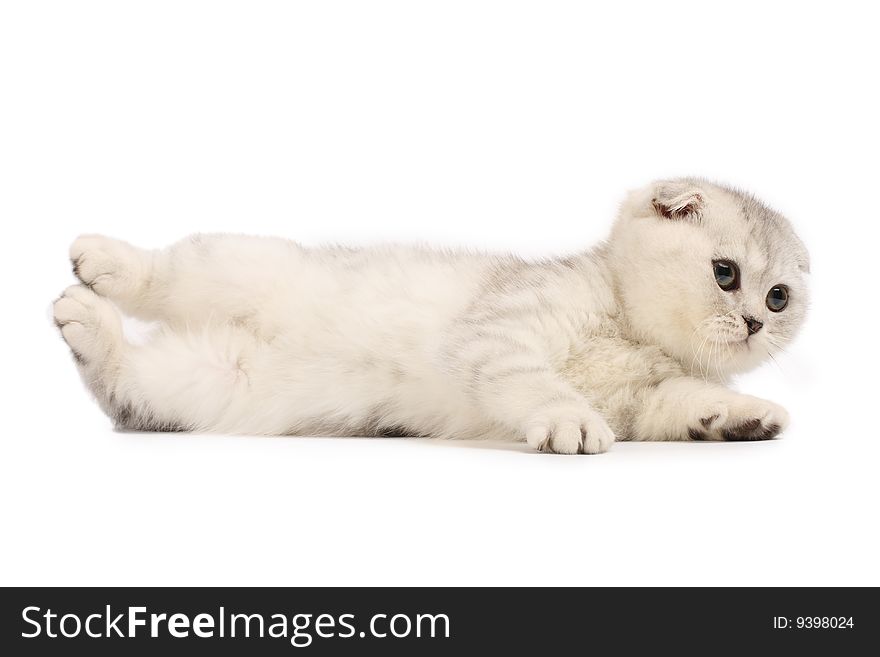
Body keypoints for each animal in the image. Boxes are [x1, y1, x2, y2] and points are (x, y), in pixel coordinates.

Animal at [53, 181, 812, 456]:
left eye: (779, 297)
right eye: (725, 273)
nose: (754, 322)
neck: (629, 328)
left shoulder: (646, 401)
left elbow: (686, 401)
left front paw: (744, 417)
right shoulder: (501, 330)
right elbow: (536, 381)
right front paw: (568, 418)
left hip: (206, 383)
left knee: (121, 381)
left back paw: (89, 325)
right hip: (238, 264)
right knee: (164, 274)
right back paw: (97, 269)